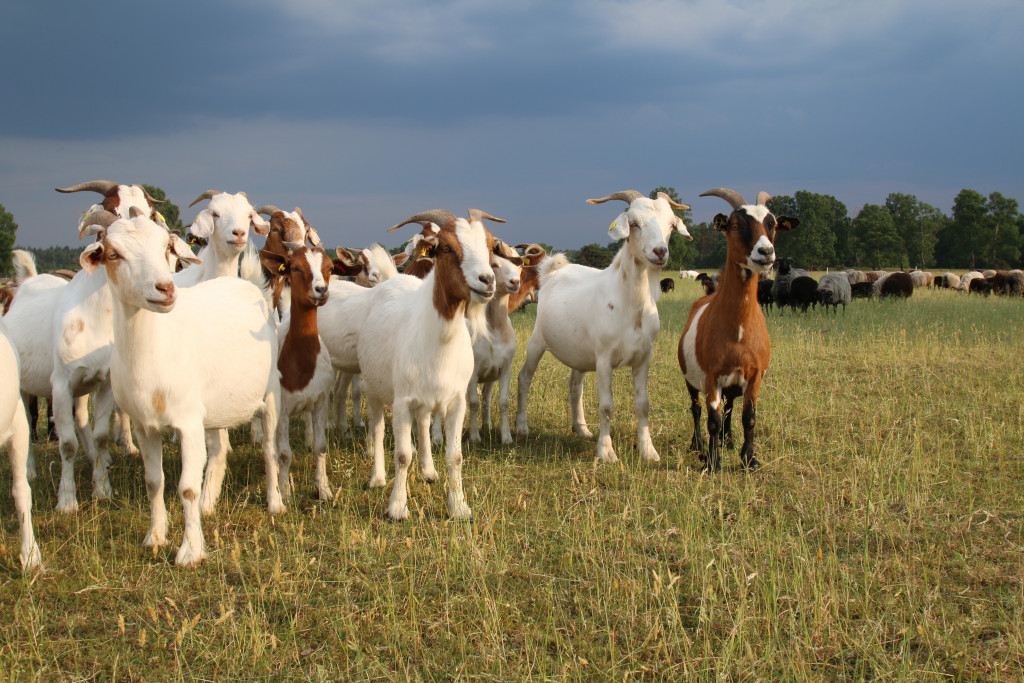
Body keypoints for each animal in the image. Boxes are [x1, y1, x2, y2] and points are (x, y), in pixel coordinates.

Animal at [77, 208, 282, 565]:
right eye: (114, 254)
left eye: (165, 248)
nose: (165, 289)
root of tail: (246, 284)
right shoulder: (145, 426)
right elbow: (153, 481)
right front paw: (155, 537)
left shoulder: (187, 423)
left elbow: (186, 488)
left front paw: (190, 551)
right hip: (213, 408)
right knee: (218, 450)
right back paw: (209, 504)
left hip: (270, 394)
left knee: (269, 448)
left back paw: (275, 503)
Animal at [360, 208, 503, 518]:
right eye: (447, 248)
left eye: (489, 246)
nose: (487, 280)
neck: (440, 340)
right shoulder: (402, 401)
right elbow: (402, 455)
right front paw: (397, 508)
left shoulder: (457, 401)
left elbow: (455, 456)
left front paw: (459, 507)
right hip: (373, 387)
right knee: (376, 428)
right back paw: (377, 478)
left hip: (425, 399)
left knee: (424, 425)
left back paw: (428, 471)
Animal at [516, 189, 692, 462]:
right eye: (634, 223)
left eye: (671, 225)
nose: (660, 251)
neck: (631, 307)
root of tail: (553, 271)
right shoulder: (604, 358)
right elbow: (607, 406)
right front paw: (607, 452)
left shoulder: (644, 357)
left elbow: (643, 404)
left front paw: (648, 451)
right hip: (537, 340)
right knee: (525, 377)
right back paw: (522, 426)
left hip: (579, 352)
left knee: (575, 386)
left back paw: (581, 428)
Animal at [679, 189, 798, 473]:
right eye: (735, 225)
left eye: (772, 224)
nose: (766, 252)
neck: (739, 331)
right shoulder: (711, 377)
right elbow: (712, 419)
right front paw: (712, 463)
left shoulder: (754, 376)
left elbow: (748, 417)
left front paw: (750, 459)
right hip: (691, 379)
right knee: (696, 409)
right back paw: (698, 445)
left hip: (733, 384)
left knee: (730, 408)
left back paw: (729, 441)